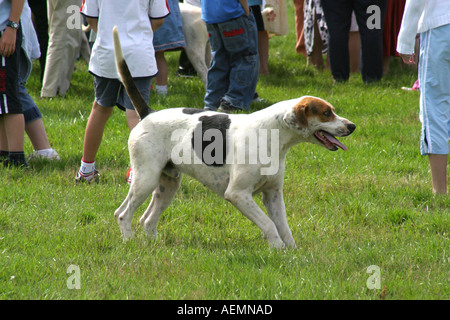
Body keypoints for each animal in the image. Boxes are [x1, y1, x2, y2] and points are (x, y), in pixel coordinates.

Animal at [111, 26, 356, 248]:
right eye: (326, 113)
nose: (352, 126)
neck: (271, 135)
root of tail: (148, 113)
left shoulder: (273, 195)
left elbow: (284, 228)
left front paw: (292, 253)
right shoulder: (238, 194)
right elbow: (269, 224)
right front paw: (277, 248)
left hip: (168, 184)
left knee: (147, 220)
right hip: (146, 179)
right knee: (122, 214)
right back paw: (128, 241)